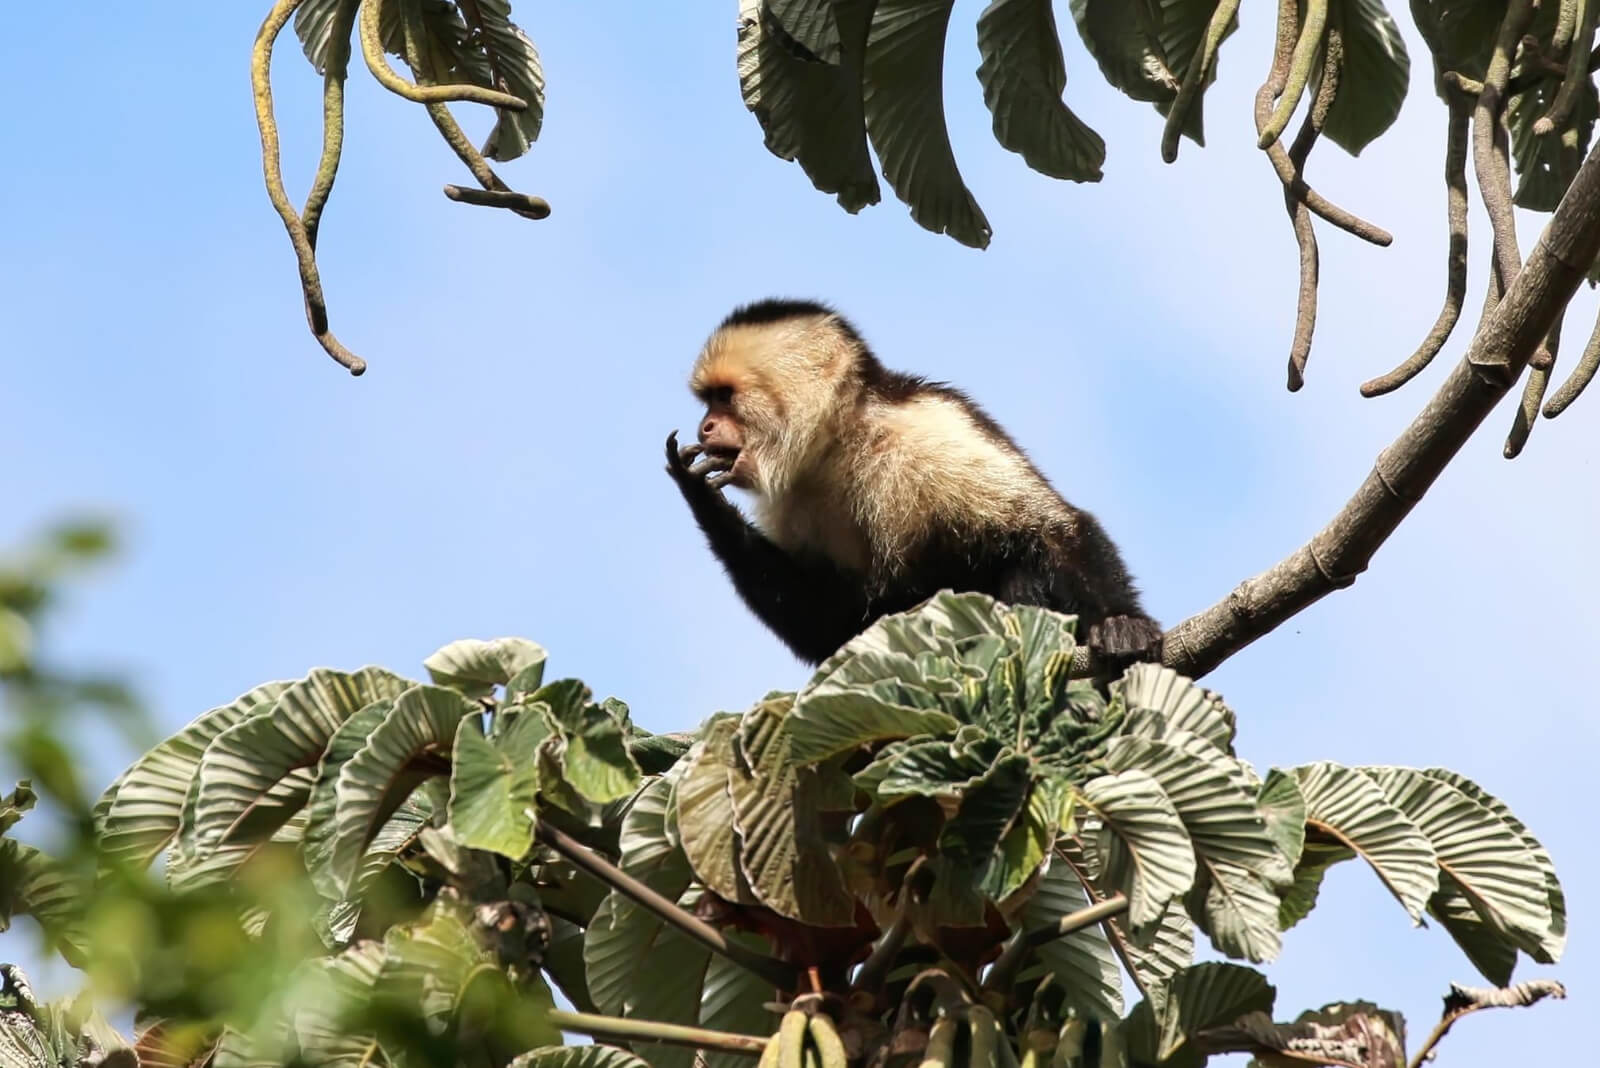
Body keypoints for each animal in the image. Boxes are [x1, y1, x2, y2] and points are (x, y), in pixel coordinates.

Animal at [664, 298, 1163, 668]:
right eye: (708, 401)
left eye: (725, 397)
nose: (705, 426)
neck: (842, 444)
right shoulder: (793, 500)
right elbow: (836, 626)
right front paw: (700, 493)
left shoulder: (929, 429)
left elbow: (1055, 527)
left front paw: (1124, 625)